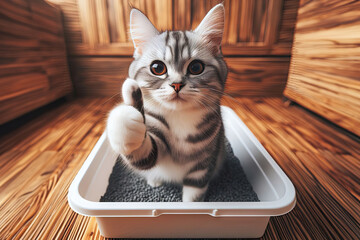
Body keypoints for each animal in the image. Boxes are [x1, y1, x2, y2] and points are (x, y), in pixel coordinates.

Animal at [105, 4, 228, 202]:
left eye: (196, 67)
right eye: (157, 68)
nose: (177, 84)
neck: (180, 118)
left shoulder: (204, 163)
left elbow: (194, 192)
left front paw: (190, 206)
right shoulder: (153, 140)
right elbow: (143, 153)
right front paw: (125, 120)